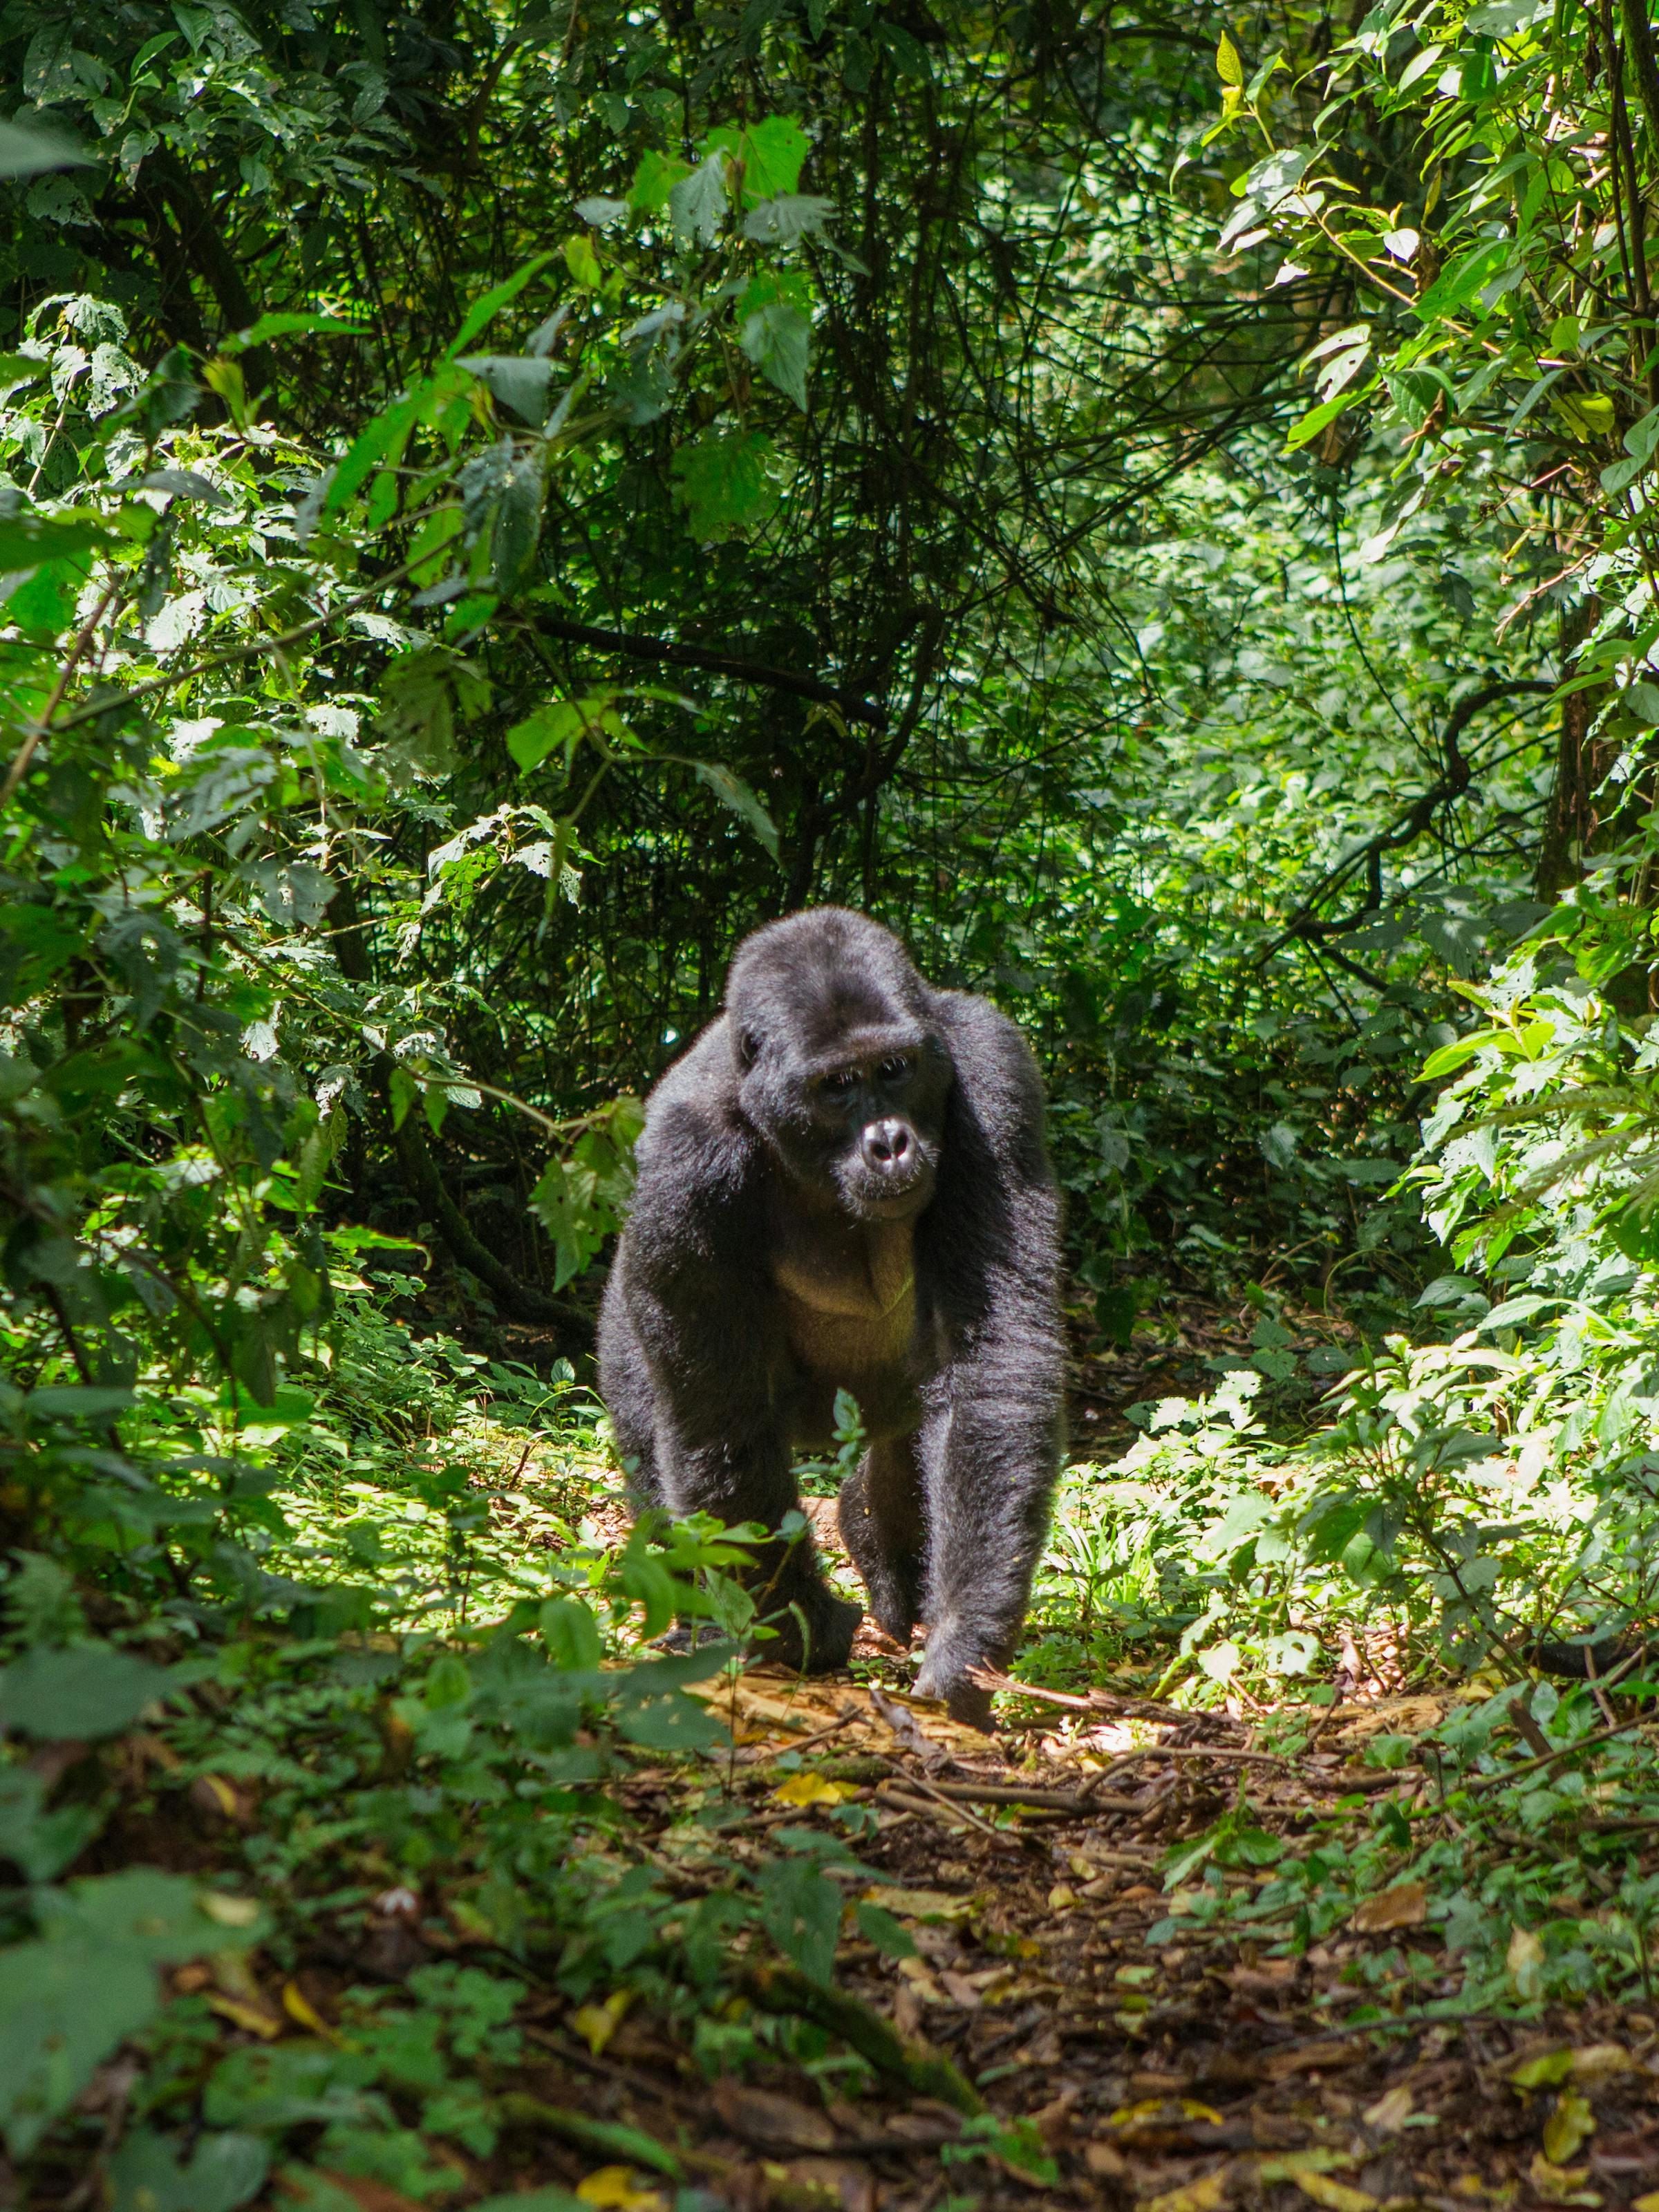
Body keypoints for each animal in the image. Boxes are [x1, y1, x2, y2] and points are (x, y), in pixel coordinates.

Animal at [596, 906, 1063, 1730]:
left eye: (894, 1070)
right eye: (837, 1085)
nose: (891, 1143)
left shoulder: (992, 1069)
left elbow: (991, 1362)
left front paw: (965, 1639)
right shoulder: (682, 1164)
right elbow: (722, 1420)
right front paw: (801, 1631)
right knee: (655, 1430)